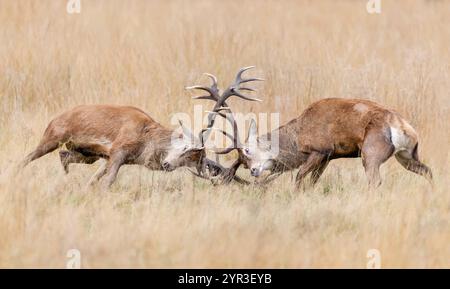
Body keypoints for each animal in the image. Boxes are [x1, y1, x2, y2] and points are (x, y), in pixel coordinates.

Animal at [229, 97, 432, 188]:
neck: (298, 136)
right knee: (427, 171)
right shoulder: (328, 158)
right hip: (406, 155)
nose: (253, 171)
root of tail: (402, 126)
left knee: (375, 181)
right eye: (244, 164)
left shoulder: (320, 150)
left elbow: (299, 177)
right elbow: (312, 181)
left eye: (247, 151)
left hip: (370, 154)